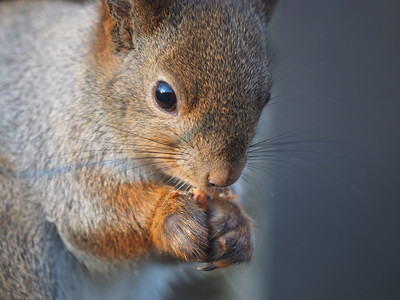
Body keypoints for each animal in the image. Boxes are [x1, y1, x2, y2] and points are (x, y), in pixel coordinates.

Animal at [0, 0, 276, 298]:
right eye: (164, 95)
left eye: (265, 97)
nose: (222, 177)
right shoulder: (57, 143)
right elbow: (90, 212)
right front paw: (170, 215)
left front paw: (233, 224)